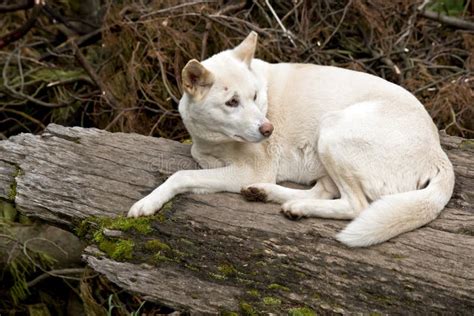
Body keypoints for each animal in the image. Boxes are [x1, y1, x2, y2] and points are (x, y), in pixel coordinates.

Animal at [128, 31, 454, 247]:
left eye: (254, 96)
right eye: (232, 102)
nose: (268, 130)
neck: (214, 138)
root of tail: (438, 155)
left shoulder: (251, 170)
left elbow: (180, 175)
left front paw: (147, 203)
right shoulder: (214, 159)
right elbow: (195, 162)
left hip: (332, 130)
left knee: (356, 206)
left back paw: (291, 204)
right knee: (324, 191)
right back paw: (272, 197)